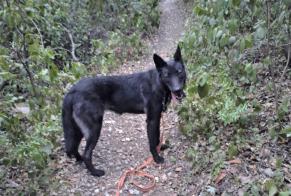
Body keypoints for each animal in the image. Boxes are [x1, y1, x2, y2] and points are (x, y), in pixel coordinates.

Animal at [62, 45, 188, 176]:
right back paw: (95, 172)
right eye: (167, 75)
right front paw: (156, 158)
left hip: (78, 130)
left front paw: (161, 147)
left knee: (73, 147)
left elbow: (157, 136)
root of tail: (73, 90)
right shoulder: (152, 120)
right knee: (86, 154)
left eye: (179, 72)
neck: (158, 83)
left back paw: (79, 159)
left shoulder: (157, 118)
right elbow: (152, 142)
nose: (178, 90)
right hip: (94, 129)